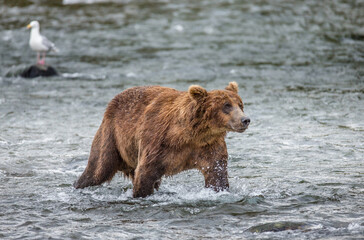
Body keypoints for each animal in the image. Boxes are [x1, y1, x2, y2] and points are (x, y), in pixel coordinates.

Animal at [74, 81, 250, 198]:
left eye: (240, 104)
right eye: (227, 105)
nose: (245, 120)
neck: (188, 135)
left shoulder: (208, 147)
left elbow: (216, 175)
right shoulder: (156, 143)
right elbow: (145, 175)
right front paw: (140, 194)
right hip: (112, 136)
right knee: (98, 168)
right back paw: (79, 185)